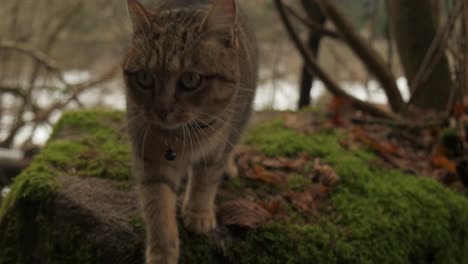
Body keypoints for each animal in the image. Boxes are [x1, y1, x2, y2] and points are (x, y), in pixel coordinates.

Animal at [122, 1, 258, 262]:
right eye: (144, 77)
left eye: (191, 79)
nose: (162, 110)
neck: (180, 137)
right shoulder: (151, 159)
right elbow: (158, 206)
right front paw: (162, 252)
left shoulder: (216, 149)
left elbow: (205, 181)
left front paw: (198, 213)